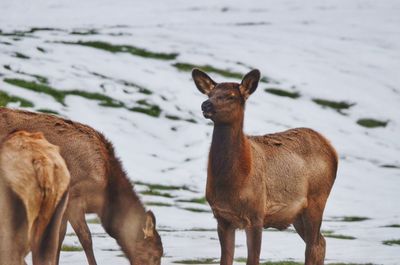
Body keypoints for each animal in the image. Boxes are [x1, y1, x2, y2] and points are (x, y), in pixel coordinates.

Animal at [192, 68, 340, 264]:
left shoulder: (256, 215)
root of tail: (332, 148)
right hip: (297, 214)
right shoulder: (222, 218)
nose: (206, 105)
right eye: (210, 93)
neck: (233, 182)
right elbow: (225, 259)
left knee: (313, 246)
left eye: (231, 96)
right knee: (321, 242)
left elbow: (253, 259)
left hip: (317, 199)